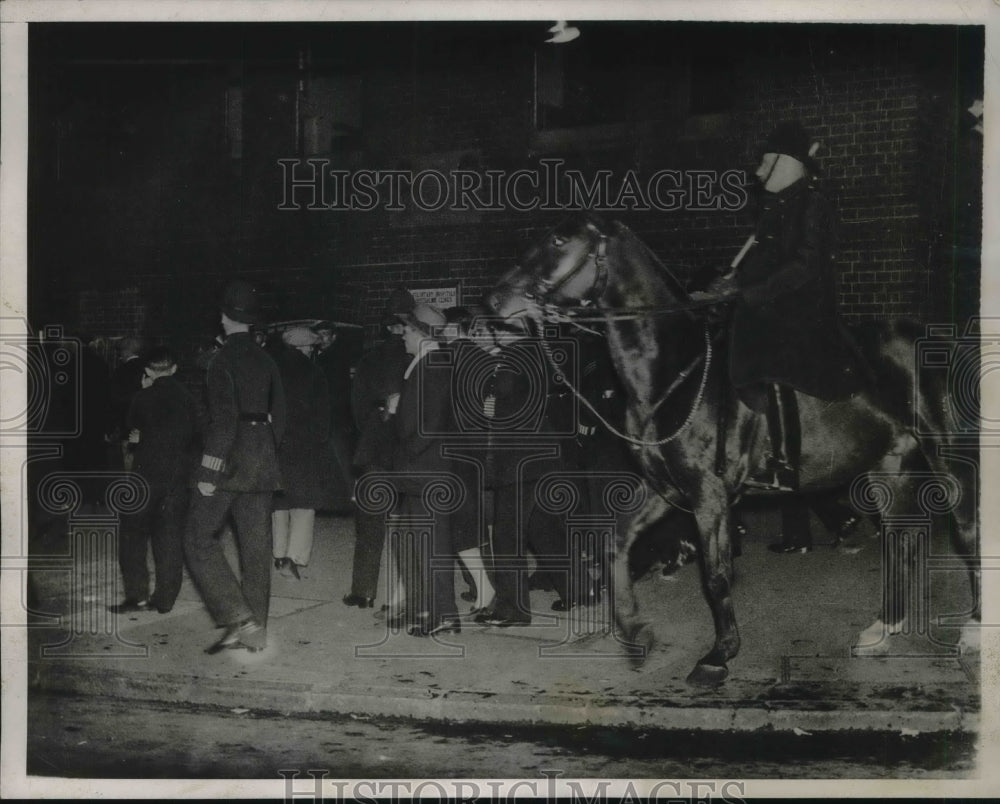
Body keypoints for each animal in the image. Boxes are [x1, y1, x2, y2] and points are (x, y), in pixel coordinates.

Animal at [488, 214, 980, 684]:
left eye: (558, 242)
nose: (495, 303)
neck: (673, 374)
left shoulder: (710, 495)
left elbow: (717, 574)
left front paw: (718, 655)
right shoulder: (668, 489)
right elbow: (617, 542)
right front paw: (635, 633)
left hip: (949, 459)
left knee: (967, 529)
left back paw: (972, 630)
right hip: (888, 467)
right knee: (901, 540)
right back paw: (883, 629)